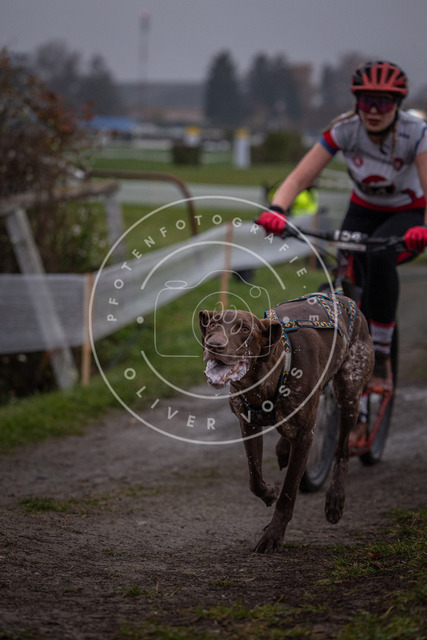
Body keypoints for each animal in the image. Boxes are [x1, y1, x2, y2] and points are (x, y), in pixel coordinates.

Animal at [199, 292, 374, 553]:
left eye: (244, 329)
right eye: (213, 325)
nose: (214, 345)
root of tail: (344, 298)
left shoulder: (304, 437)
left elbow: (288, 493)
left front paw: (273, 535)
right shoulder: (248, 425)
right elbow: (255, 479)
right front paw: (270, 492)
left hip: (350, 392)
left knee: (343, 449)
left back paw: (335, 499)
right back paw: (283, 449)